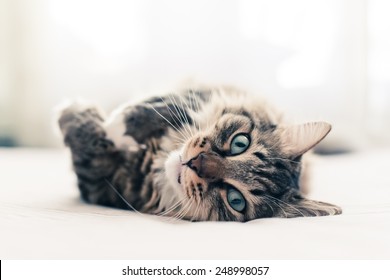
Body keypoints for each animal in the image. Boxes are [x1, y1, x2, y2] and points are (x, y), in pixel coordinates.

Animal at [58, 86, 342, 222]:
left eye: (236, 200)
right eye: (240, 143)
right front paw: (117, 125)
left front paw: (74, 112)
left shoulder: (101, 181)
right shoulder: (199, 96)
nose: (195, 163)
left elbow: (85, 135)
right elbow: (162, 106)